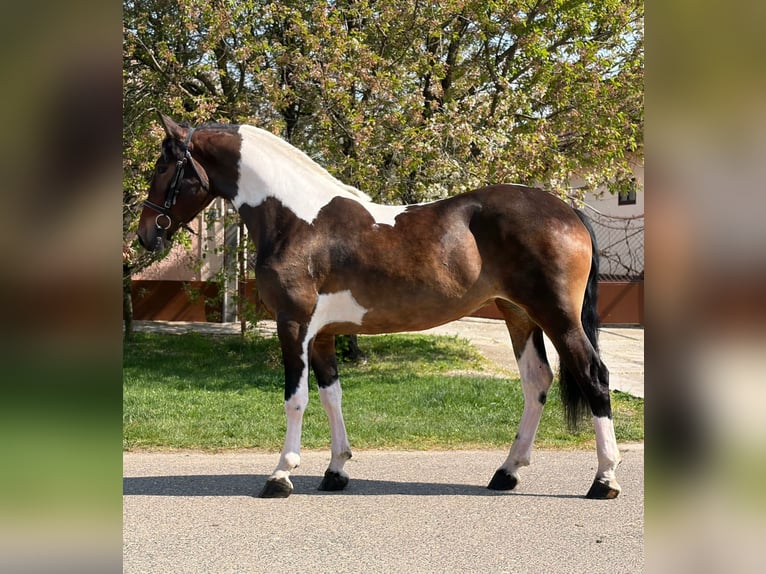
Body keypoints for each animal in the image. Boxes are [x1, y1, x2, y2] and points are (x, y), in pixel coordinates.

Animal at [137, 114, 622, 499]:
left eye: (164, 165)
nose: (146, 234)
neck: (296, 220)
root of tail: (568, 211)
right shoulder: (323, 334)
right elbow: (331, 395)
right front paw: (335, 470)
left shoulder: (294, 325)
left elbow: (295, 399)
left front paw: (280, 475)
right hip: (517, 313)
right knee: (536, 381)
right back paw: (506, 472)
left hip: (557, 317)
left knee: (594, 377)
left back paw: (604, 480)